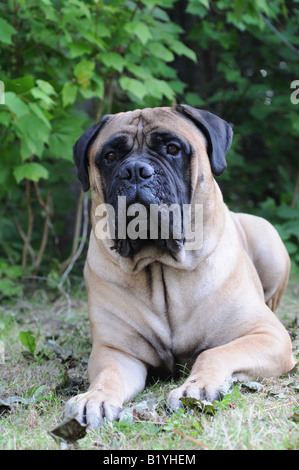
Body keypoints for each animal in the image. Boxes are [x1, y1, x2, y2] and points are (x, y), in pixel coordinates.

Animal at [65, 104, 296, 428]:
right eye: (110, 156)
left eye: (172, 149)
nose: (135, 171)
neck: (160, 266)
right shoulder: (116, 351)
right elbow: (108, 375)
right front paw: (94, 398)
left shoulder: (266, 334)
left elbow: (214, 354)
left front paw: (195, 388)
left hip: (267, 238)